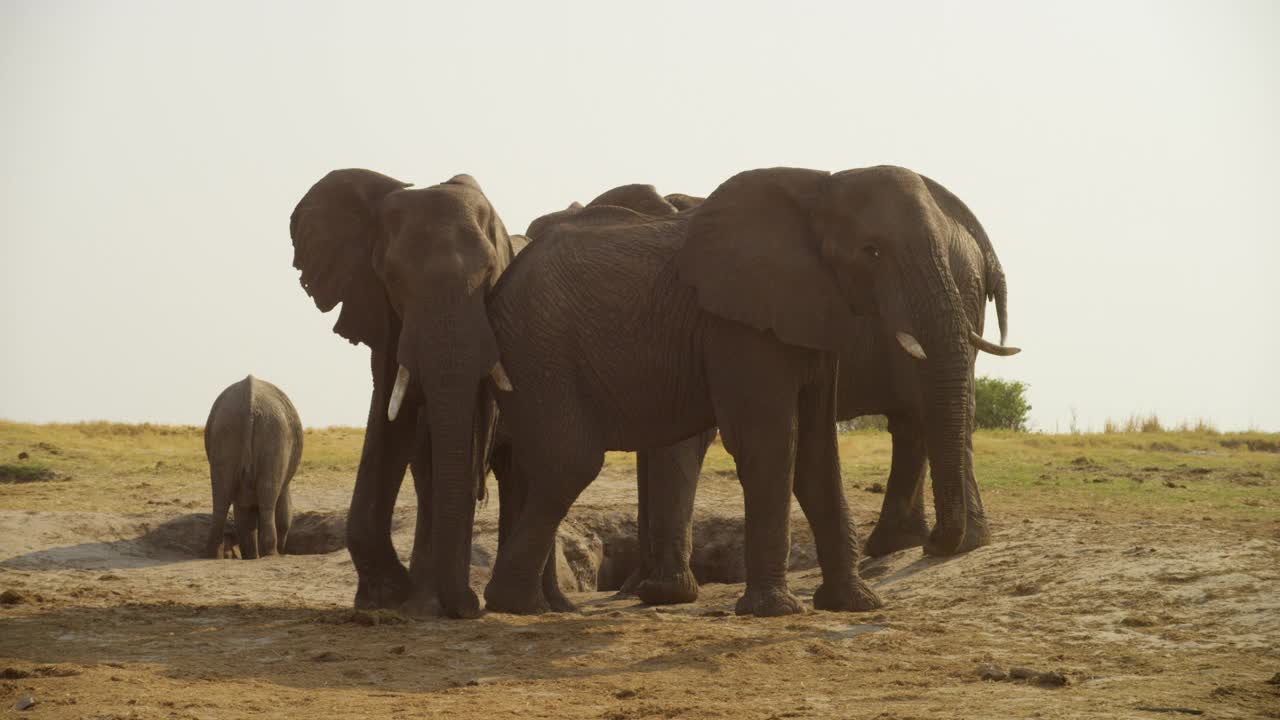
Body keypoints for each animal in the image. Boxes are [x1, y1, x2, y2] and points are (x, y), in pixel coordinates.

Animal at [204, 371, 304, 558]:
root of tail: (249, 403)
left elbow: (245, 517)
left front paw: (250, 556)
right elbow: (283, 512)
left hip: (225, 430)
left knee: (221, 497)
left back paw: (213, 555)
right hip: (275, 435)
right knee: (268, 500)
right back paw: (272, 554)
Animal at [290, 167, 514, 617]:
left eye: (489, 276)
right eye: (393, 279)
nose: (473, 606)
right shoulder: (379, 310)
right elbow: (390, 420)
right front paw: (382, 597)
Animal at [483, 165, 1013, 614]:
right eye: (873, 251)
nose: (940, 542)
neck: (821, 186)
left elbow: (812, 449)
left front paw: (851, 603)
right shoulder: (736, 324)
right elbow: (774, 443)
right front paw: (775, 609)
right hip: (541, 349)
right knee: (569, 462)